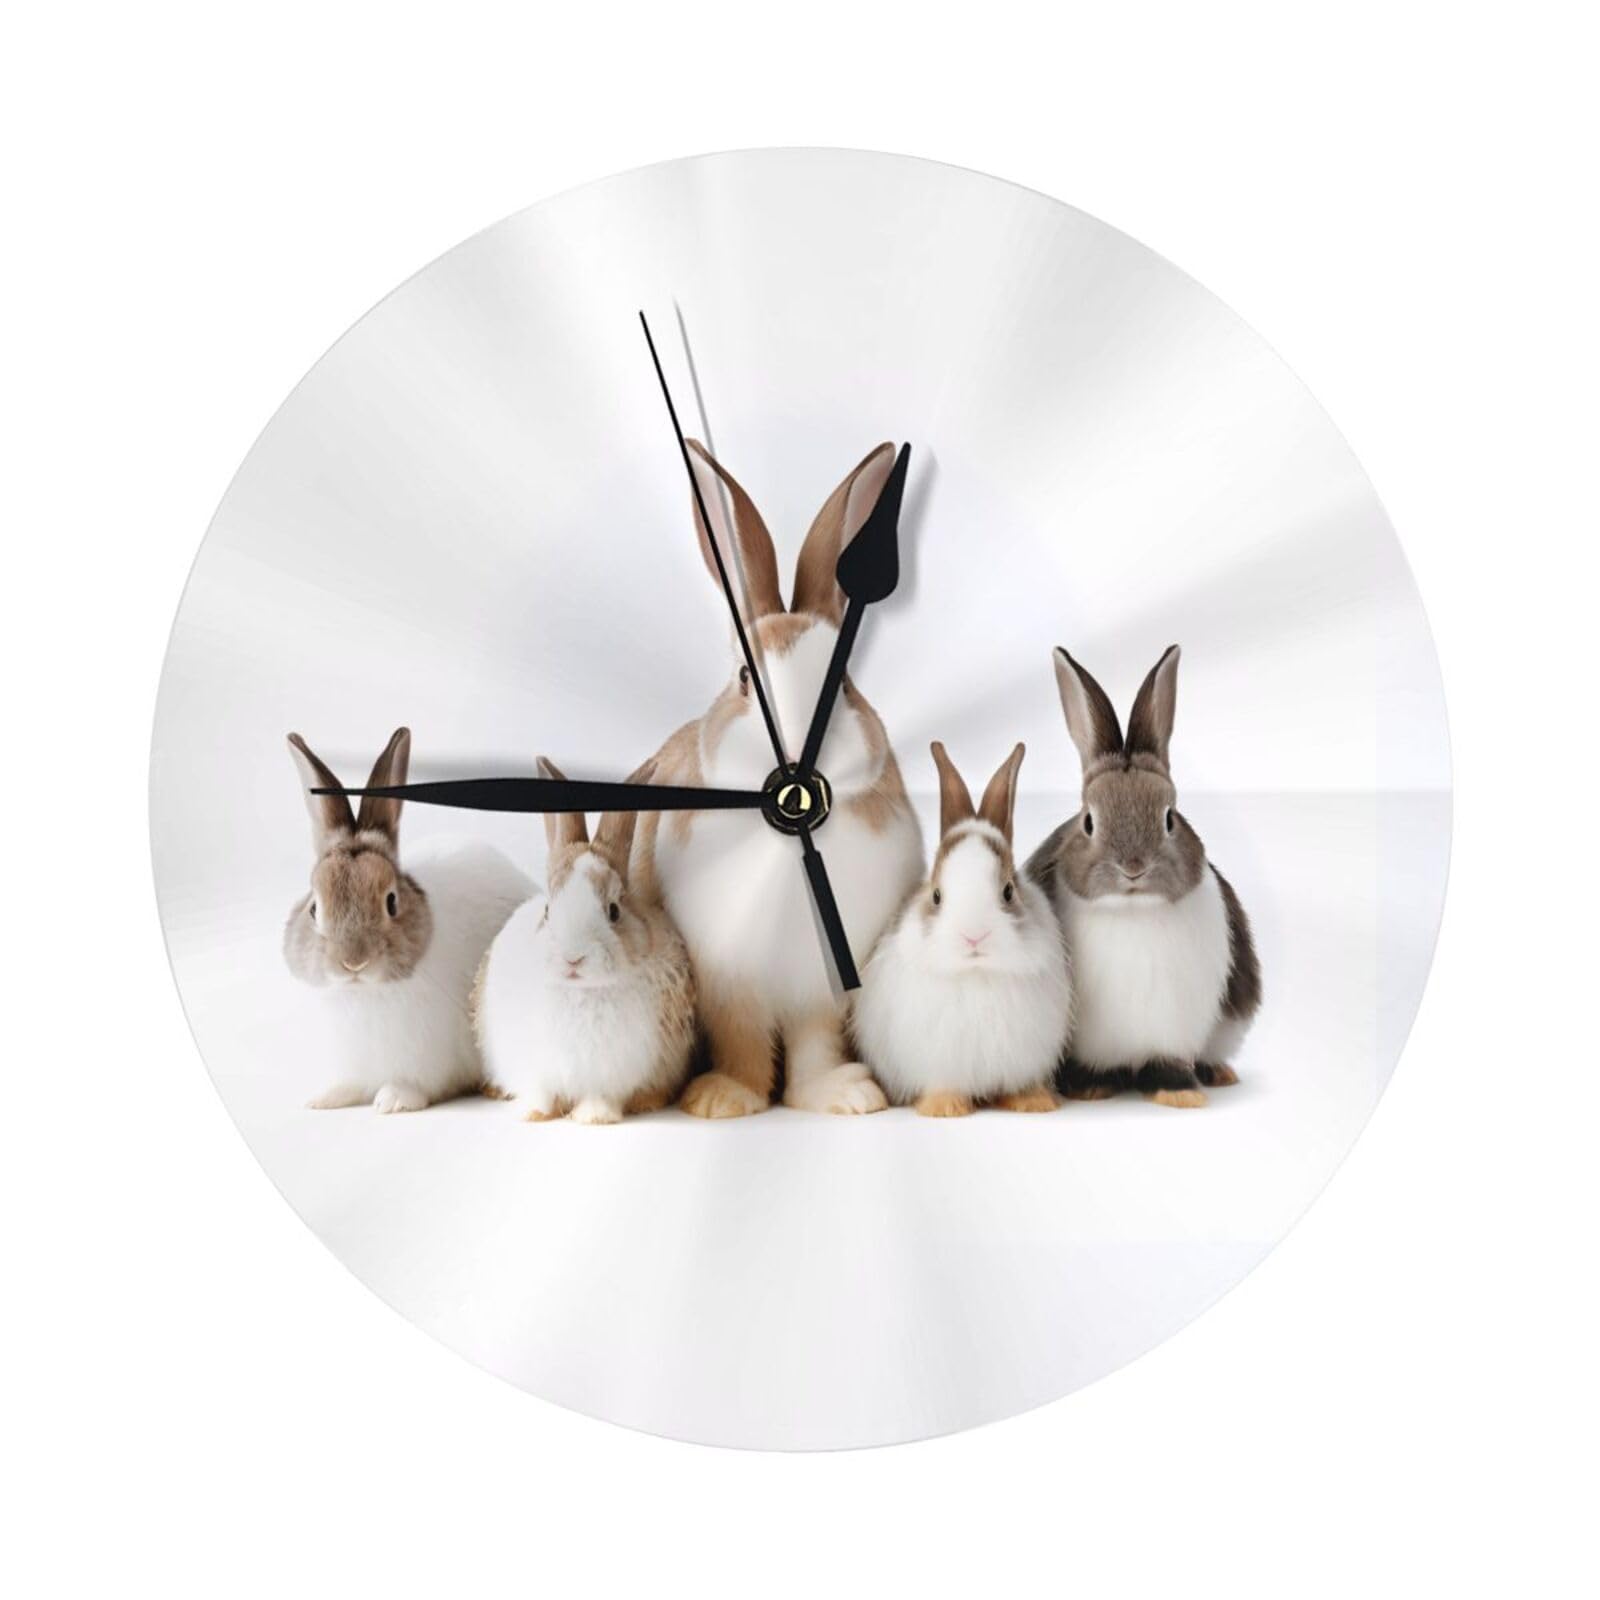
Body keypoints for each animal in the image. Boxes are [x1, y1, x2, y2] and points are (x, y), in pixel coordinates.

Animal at [283, 727, 533, 1112]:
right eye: (314, 908)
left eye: (391, 902)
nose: (353, 962)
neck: (362, 993)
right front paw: (325, 1099)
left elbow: (413, 1084)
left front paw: (392, 1101)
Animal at [472, 759, 696, 1125]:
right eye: (548, 910)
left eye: (614, 910)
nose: (573, 958)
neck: (580, 991)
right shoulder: (537, 1067)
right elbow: (542, 1092)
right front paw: (534, 1113)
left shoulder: (611, 1073)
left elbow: (599, 1096)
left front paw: (594, 1118)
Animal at [631, 440, 925, 1119]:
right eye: (745, 677)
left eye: (844, 682)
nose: (793, 752)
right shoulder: (727, 978)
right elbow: (740, 1040)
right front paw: (724, 1099)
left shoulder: (823, 986)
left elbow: (816, 1043)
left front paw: (843, 1096)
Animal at [853, 742, 1073, 1117]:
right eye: (937, 895)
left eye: (1008, 891)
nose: (974, 936)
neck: (976, 973)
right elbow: (941, 1084)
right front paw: (944, 1108)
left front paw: (1033, 1102)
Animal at [1024, 646, 1262, 1107]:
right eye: (1089, 822)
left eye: (1170, 818)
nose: (1133, 867)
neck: (1133, 910)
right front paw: (1090, 1087)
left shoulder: (1172, 1029)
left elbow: (1166, 1062)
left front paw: (1179, 1092)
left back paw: (1217, 1074)